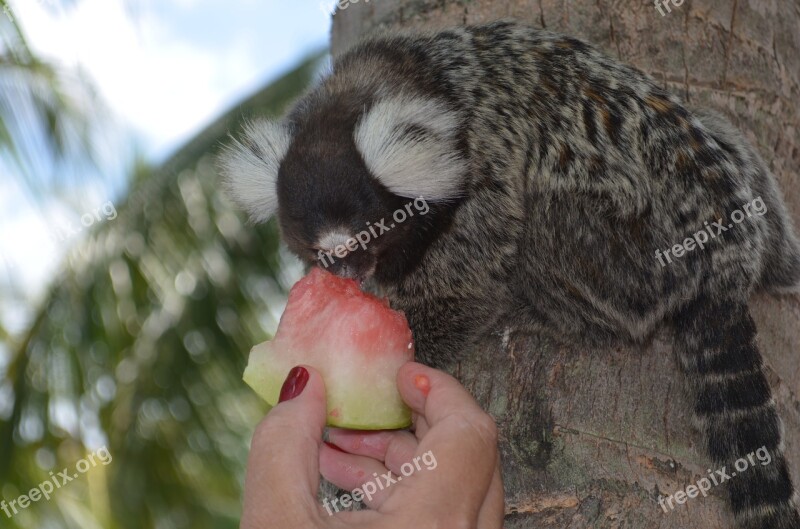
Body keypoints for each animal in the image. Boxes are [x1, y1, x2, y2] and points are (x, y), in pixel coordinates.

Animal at [219, 20, 800, 528]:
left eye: (366, 238)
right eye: (322, 253)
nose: (348, 271)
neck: (410, 83)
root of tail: (728, 258)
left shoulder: (481, 163)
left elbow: (473, 277)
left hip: (640, 248)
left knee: (555, 221)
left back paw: (551, 316)